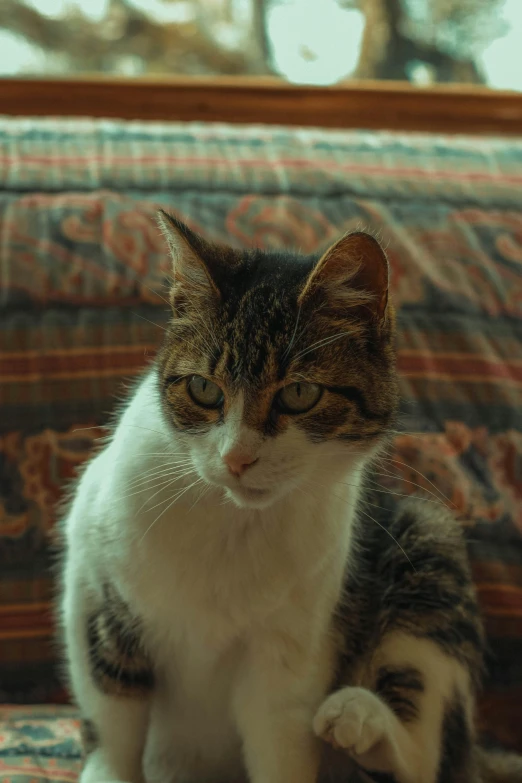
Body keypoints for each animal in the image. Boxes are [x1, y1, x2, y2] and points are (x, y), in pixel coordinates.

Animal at [62, 211, 520, 780]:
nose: (237, 457)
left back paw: (359, 715)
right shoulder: (99, 590)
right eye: (203, 389)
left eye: (300, 393)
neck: (232, 525)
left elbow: (278, 738)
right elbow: (113, 709)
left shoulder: (290, 649)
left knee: (419, 757)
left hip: (429, 541)